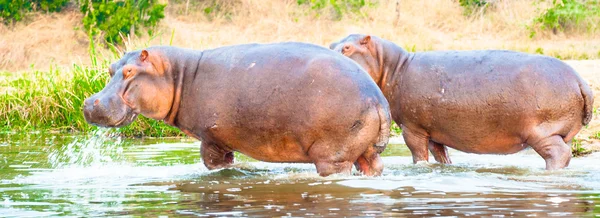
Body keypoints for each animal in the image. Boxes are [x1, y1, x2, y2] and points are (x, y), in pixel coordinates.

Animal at [82, 43, 392, 176]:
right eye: (111, 68)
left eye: (131, 71)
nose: (89, 103)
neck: (179, 75)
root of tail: (377, 99)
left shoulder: (212, 139)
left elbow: (214, 164)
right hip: (363, 149)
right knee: (372, 165)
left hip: (332, 155)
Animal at [330, 34, 592, 170]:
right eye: (332, 44)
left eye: (347, 48)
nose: (328, 55)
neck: (394, 66)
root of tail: (581, 81)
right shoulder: (433, 131)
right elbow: (440, 155)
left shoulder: (412, 128)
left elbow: (418, 154)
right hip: (560, 132)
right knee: (566, 152)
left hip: (541, 131)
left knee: (558, 154)